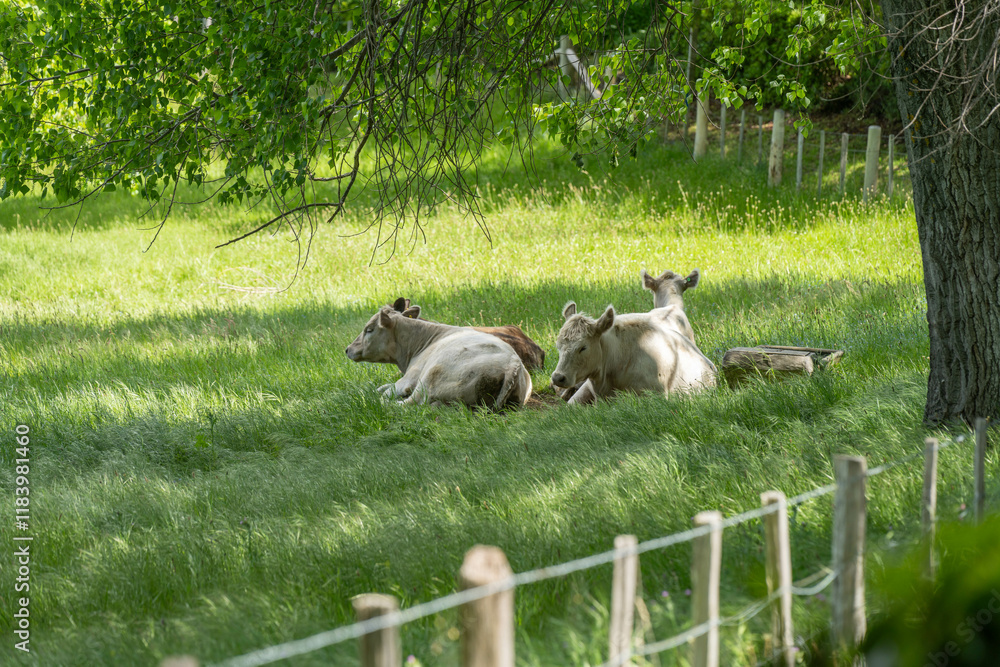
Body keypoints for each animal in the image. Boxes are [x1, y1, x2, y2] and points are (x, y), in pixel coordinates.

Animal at [345, 306, 532, 409]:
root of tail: (513, 365)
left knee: (408, 404)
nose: (348, 349)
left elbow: (385, 391)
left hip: (428, 379)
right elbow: (380, 387)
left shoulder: (408, 379)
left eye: (369, 329)